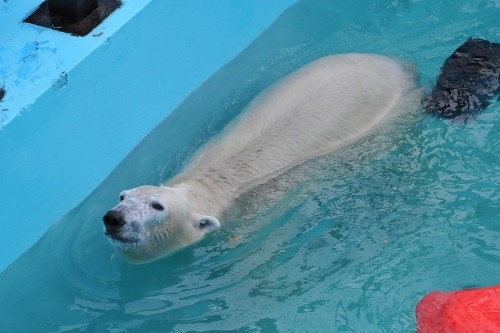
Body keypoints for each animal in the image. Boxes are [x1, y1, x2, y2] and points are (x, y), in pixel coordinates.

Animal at [104, 53, 418, 262]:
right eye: (123, 196)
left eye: (158, 207)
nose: (114, 218)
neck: (210, 186)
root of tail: (400, 65)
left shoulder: (257, 216)